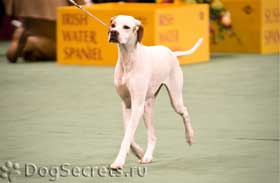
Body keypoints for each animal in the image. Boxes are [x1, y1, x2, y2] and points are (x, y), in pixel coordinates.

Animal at [108, 14, 202, 169]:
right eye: (113, 25)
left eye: (126, 27)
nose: (113, 33)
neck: (128, 59)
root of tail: (171, 53)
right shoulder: (127, 104)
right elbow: (128, 134)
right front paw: (138, 152)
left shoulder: (137, 105)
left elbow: (127, 137)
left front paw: (119, 161)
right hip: (147, 107)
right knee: (153, 135)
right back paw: (147, 156)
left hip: (175, 99)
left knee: (185, 112)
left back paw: (190, 137)